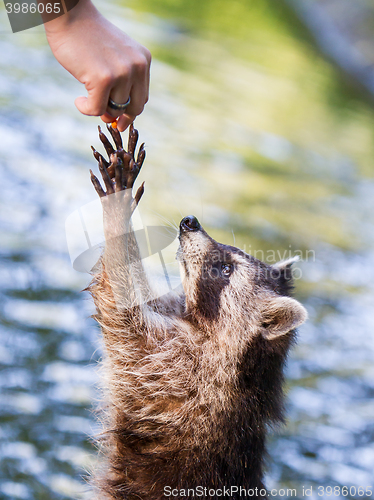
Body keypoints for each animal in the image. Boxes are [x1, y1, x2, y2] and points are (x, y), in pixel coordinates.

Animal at [87, 125, 306, 500]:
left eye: (226, 269)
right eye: (230, 250)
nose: (190, 222)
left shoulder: (175, 373)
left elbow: (119, 307)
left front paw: (117, 210)